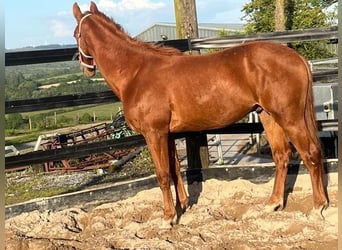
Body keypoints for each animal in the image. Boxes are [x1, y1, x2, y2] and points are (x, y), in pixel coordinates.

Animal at [72, 2, 326, 229]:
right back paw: (272, 204)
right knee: (281, 156)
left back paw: (318, 207)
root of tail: (296, 57)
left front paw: (167, 218)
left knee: (310, 153)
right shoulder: (167, 134)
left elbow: (163, 174)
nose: (86, 68)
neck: (136, 72)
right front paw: (182, 206)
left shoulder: (154, 133)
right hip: (268, 117)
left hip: (290, 118)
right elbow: (175, 170)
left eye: (76, 34)